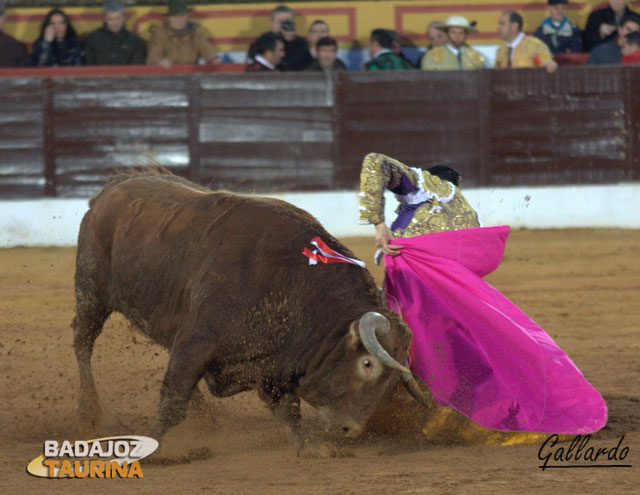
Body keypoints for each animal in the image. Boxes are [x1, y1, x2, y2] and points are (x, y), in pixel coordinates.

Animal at [71, 171, 430, 458]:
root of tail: (111, 188)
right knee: (82, 341)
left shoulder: (272, 364)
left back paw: (204, 417)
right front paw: (149, 446)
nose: (350, 430)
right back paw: (89, 413)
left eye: (392, 382)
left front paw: (306, 448)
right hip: (91, 292)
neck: (294, 286)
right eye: (368, 364)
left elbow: (287, 409)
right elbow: (173, 400)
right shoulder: (197, 340)